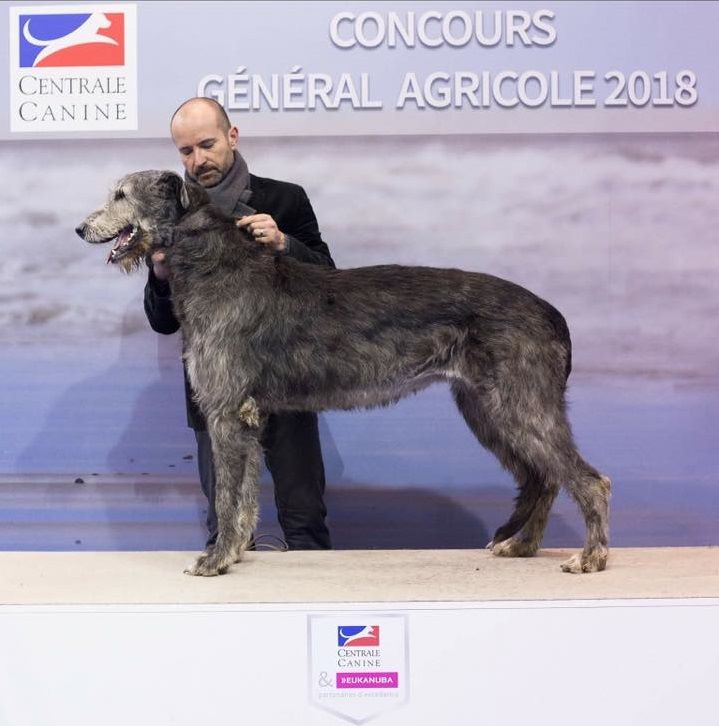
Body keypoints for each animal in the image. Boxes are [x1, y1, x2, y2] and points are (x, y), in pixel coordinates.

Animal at [76, 171, 612, 580]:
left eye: (121, 194)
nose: (81, 228)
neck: (214, 264)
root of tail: (552, 314)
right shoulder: (247, 416)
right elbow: (244, 494)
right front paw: (236, 553)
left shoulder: (227, 411)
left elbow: (227, 496)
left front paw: (215, 560)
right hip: (486, 406)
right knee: (544, 477)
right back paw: (522, 547)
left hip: (519, 401)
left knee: (588, 480)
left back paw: (590, 557)